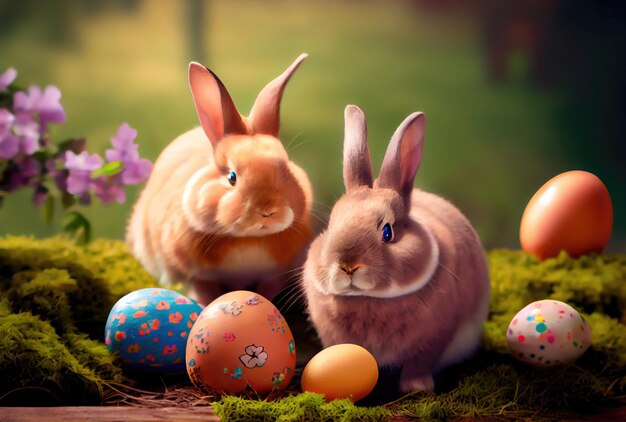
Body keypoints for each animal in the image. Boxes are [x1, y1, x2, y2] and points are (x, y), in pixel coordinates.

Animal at [127, 55, 312, 306]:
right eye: (232, 177)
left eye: (286, 168)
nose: (268, 212)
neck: (248, 240)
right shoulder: (197, 276)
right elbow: (205, 295)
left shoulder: (275, 273)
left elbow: (267, 291)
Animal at [302, 105, 488, 392]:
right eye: (331, 225)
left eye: (387, 232)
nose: (348, 266)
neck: (369, 299)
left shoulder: (433, 339)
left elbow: (418, 364)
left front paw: (417, 387)